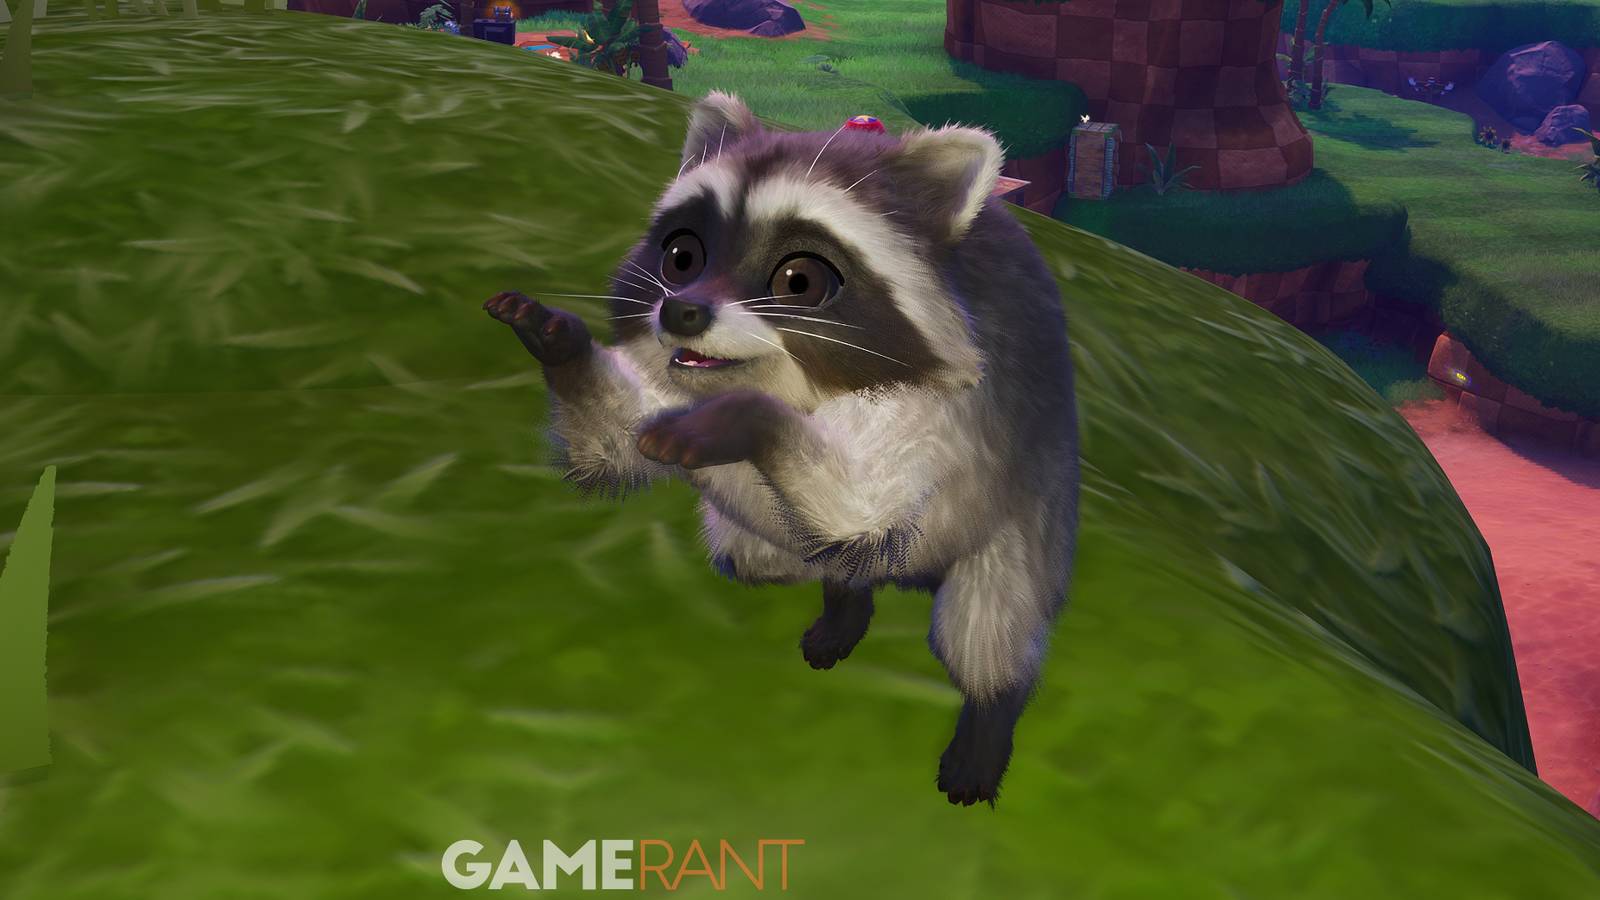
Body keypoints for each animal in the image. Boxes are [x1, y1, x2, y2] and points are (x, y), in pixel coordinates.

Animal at [485, 92, 1079, 806]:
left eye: (799, 279)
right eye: (681, 257)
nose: (681, 312)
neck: (791, 385)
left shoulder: (946, 421)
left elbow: (864, 503)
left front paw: (747, 418)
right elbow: (613, 443)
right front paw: (561, 343)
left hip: (1025, 518)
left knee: (989, 623)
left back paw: (987, 720)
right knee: (761, 556)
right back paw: (846, 602)